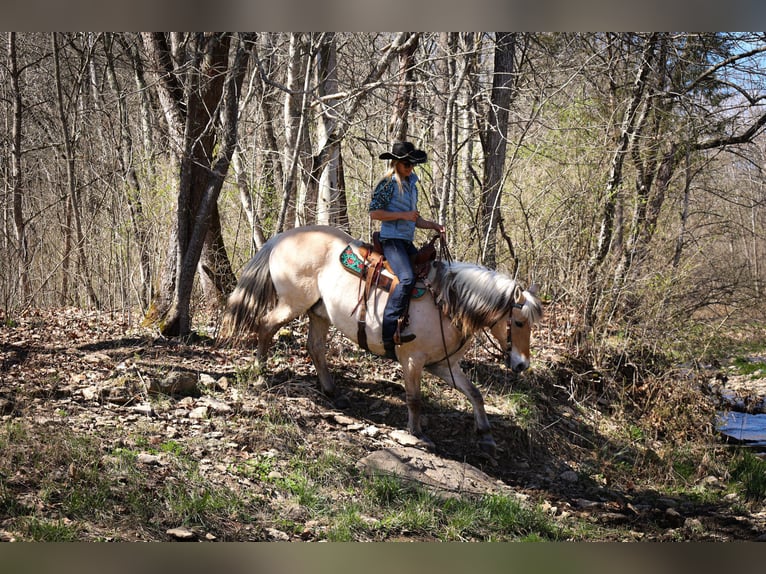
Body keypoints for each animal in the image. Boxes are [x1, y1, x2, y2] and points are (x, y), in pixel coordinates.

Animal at [219, 227, 544, 456]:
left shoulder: (444, 366)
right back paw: (260, 374)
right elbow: (414, 399)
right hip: (293, 304)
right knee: (266, 326)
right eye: (518, 322)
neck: (447, 303)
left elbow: (475, 394)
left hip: (319, 312)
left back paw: (332, 391)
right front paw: (417, 434)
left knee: (316, 348)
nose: (521, 365)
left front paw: (486, 436)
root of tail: (283, 237)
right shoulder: (412, 360)